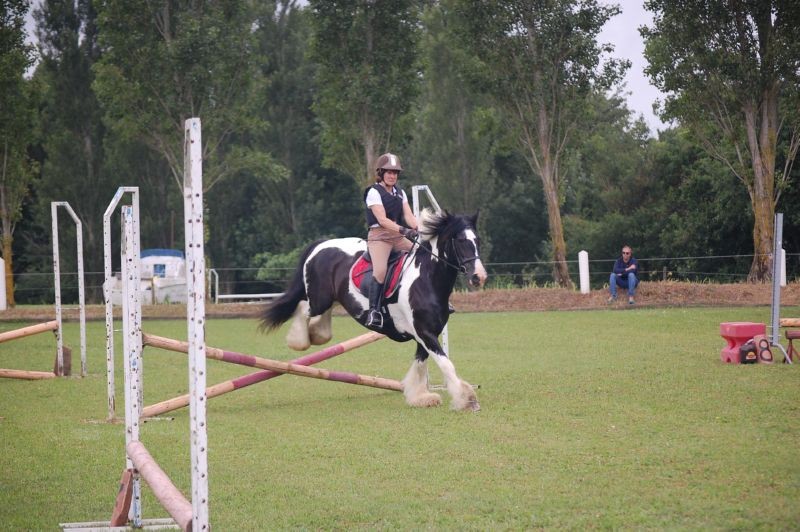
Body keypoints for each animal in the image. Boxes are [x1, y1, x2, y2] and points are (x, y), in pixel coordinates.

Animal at [260, 209, 488, 411]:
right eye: (460, 240)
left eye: (477, 240)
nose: (479, 277)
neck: (427, 279)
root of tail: (321, 244)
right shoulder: (424, 332)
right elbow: (446, 364)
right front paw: (467, 399)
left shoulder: (427, 333)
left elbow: (420, 364)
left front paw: (420, 397)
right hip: (319, 299)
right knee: (302, 308)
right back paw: (299, 341)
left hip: (332, 299)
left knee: (320, 317)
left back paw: (317, 334)